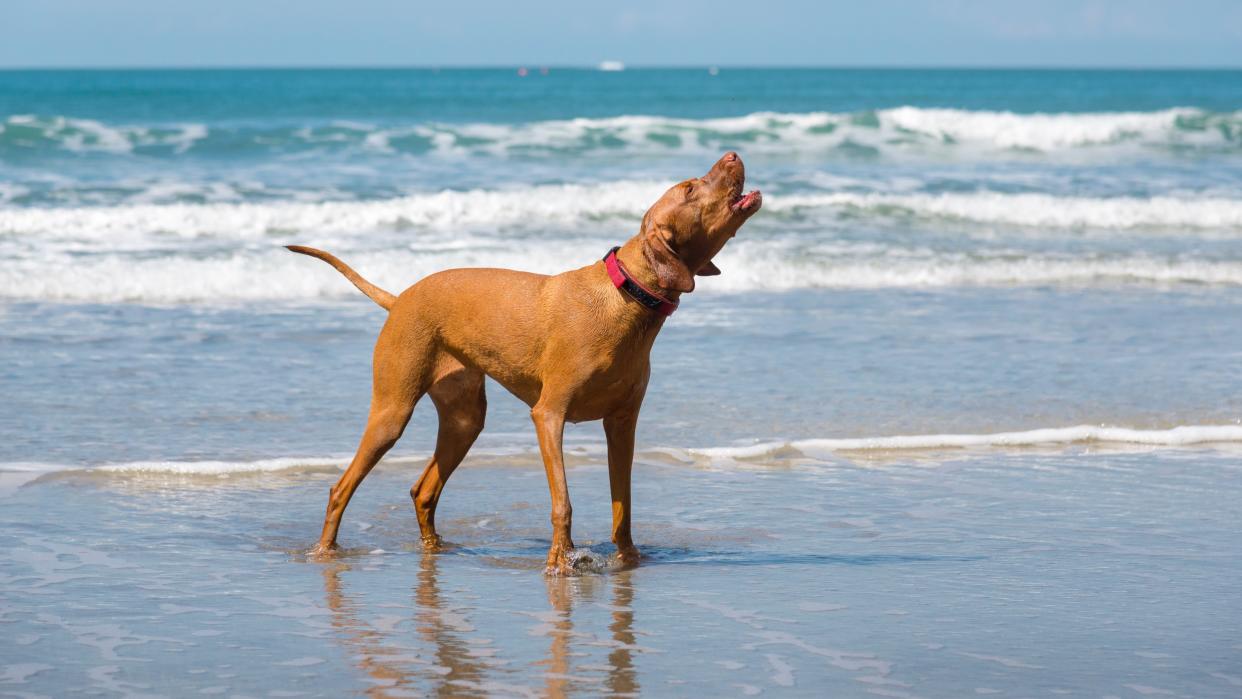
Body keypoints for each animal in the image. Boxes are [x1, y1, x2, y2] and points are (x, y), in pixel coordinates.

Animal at [289, 150, 760, 571]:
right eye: (689, 188)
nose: (733, 153)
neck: (625, 297)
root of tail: (400, 297)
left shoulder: (622, 423)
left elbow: (623, 507)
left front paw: (627, 561)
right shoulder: (549, 415)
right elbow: (563, 502)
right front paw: (559, 563)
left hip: (464, 420)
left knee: (423, 490)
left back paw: (435, 550)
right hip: (392, 410)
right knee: (341, 488)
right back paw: (326, 552)